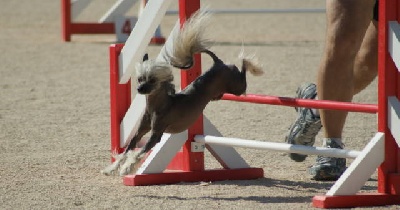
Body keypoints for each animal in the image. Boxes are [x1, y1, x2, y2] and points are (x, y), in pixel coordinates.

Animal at [101, 10, 262, 176]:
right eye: (140, 79)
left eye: (152, 80)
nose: (140, 89)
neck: (157, 105)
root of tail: (218, 63)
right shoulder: (140, 131)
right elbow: (127, 150)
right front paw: (112, 168)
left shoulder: (156, 135)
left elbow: (138, 153)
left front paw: (127, 168)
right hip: (219, 94)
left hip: (237, 87)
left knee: (243, 68)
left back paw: (251, 65)